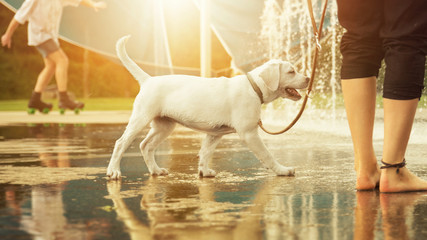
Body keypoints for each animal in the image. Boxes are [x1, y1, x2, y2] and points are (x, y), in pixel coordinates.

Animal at [106, 35, 308, 178]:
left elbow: (205, 152)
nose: (307, 78)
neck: (253, 87)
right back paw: (113, 171)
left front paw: (204, 172)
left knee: (146, 146)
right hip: (140, 119)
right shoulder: (249, 133)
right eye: (291, 71)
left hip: (164, 126)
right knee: (121, 143)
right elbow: (267, 155)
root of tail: (148, 80)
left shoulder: (215, 133)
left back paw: (155, 170)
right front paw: (282, 170)